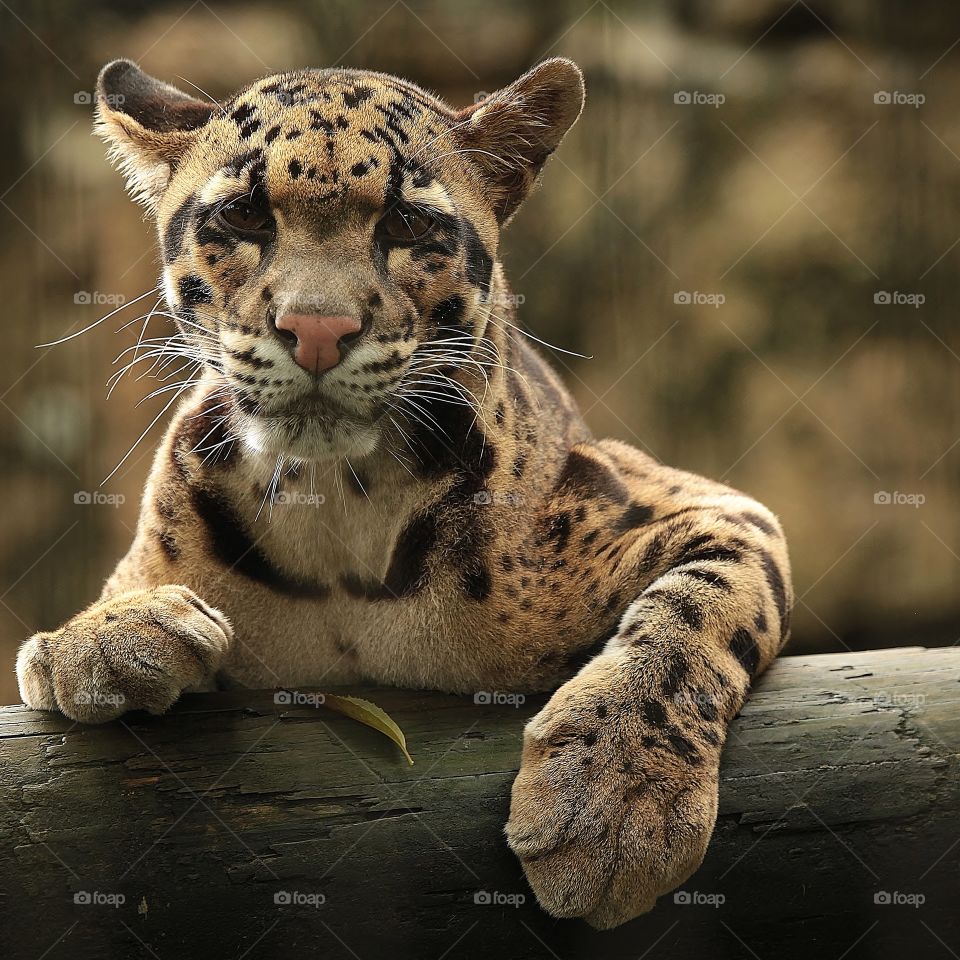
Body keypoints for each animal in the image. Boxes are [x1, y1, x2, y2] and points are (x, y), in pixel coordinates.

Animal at [15, 57, 793, 929]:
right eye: (244, 215)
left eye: (409, 226)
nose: (318, 329)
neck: (336, 507)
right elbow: (115, 597)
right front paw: (103, 634)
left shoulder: (701, 505)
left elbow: (692, 614)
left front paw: (614, 803)